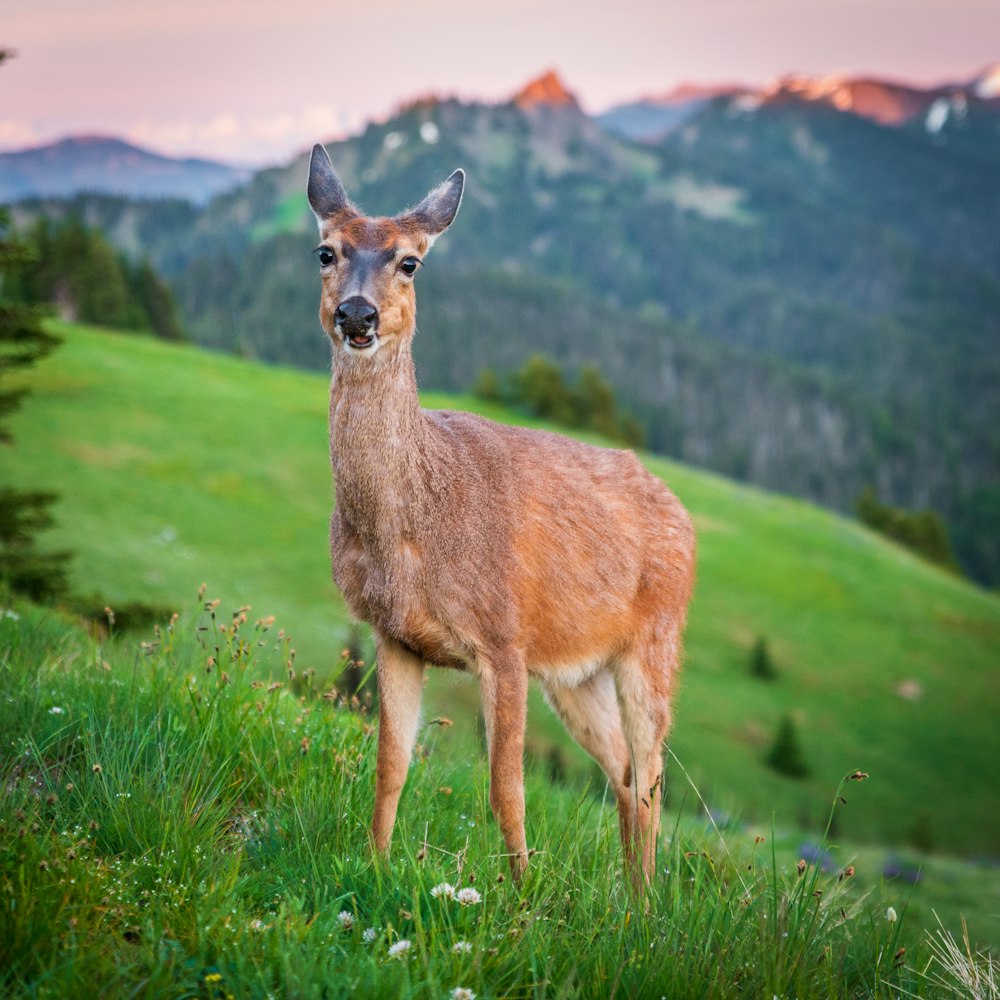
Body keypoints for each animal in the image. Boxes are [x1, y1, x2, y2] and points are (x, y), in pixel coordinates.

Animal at [306, 143, 696, 884]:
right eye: (326, 251)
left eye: (410, 261)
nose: (357, 315)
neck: (412, 525)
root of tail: (683, 515)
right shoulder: (395, 636)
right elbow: (390, 767)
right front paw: (374, 867)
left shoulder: (505, 638)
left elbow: (505, 788)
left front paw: (521, 893)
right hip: (576, 671)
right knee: (625, 771)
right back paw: (629, 899)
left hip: (655, 640)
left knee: (653, 774)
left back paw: (648, 896)